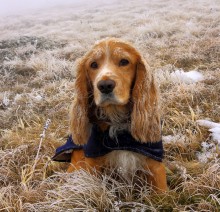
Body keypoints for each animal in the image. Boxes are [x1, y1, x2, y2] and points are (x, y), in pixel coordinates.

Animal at [52, 37, 168, 192]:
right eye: (93, 64)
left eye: (124, 61)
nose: (105, 85)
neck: (116, 120)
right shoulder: (91, 164)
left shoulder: (155, 164)